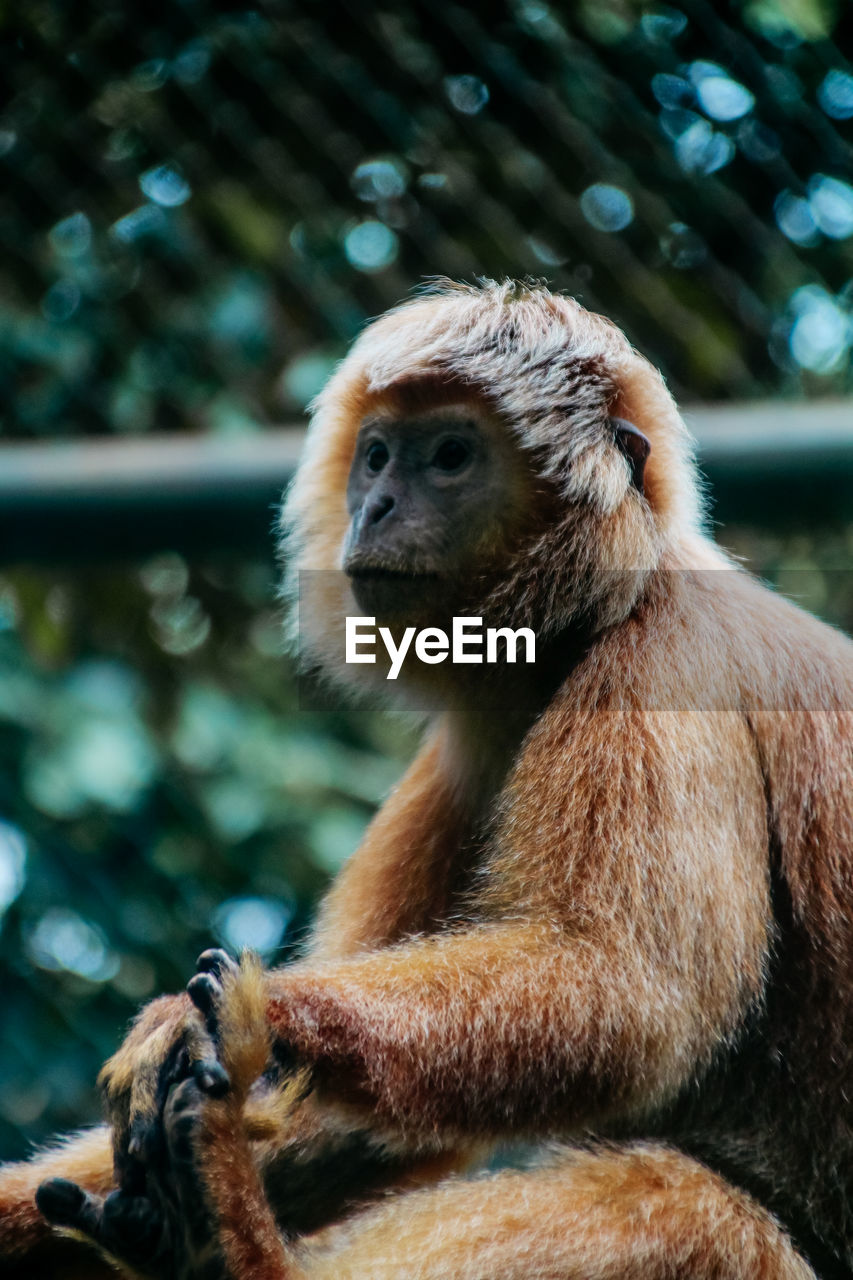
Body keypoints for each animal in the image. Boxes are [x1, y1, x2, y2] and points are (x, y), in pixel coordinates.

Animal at [0, 282, 845, 1280]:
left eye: (449, 457)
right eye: (375, 457)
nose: (377, 505)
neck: (593, 617)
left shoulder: (667, 670)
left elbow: (629, 1000)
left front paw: (243, 1013)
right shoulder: (471, 753)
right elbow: (364, 1130)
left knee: (689, 1210)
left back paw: (234, 1238)